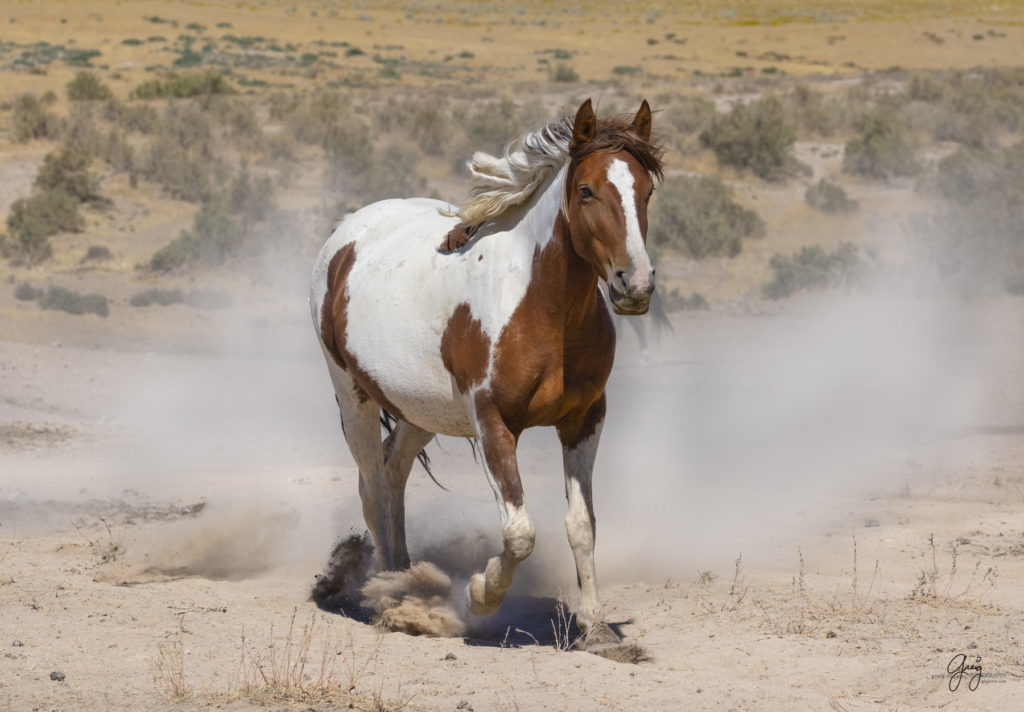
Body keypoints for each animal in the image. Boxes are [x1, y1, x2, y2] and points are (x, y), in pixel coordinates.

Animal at [309, 100, 663, 651]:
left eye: (646, 191)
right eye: (586, 190)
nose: (636, 285)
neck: (543, 307)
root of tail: (346, 233)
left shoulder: (584, 419)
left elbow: (581, 524)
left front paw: (596, 627)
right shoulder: (493, 423)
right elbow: (520, 534)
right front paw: (479, 595)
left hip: (420, 410)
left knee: (393, 472)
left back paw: (407, 578)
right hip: (353, 397)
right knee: (374, 487)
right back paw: (388, 593)